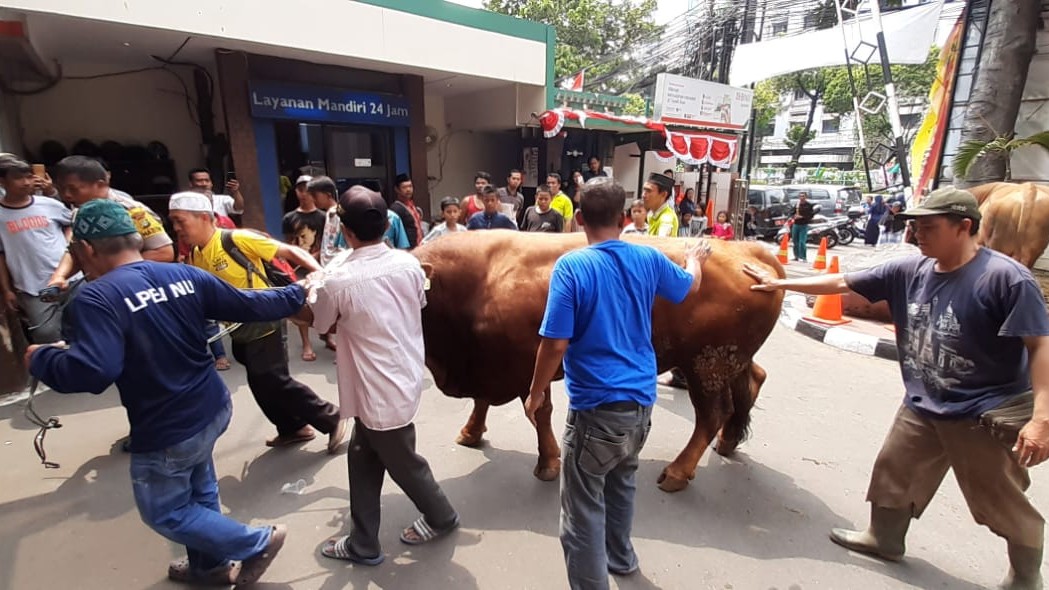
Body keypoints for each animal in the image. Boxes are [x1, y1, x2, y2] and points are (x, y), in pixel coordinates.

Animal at [413, 229, 784, 491]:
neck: (479, 279)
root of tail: (745, 250)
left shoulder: (529, 366)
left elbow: (538, 412)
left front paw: (548, 463)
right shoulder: (489, 365)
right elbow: (483, 401)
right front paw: (470, 433)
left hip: (705, 366)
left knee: (712, 414)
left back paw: (677, 473)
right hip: (729, 361)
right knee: (752, 383)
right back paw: (727, 442)